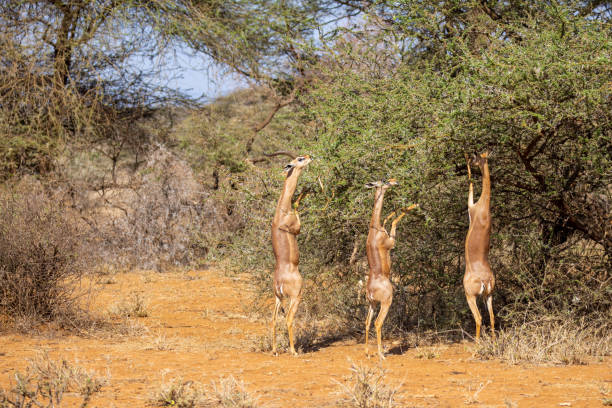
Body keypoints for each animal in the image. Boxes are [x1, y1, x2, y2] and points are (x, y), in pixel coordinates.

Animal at [364, 179, 420, 360]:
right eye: (382, 181)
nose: (394, 181)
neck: (374, 228)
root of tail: (370, 291)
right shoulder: (391, 242)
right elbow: (395, 221)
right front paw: (414, 205)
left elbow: (389, 217)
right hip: (386, 302)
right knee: (377, 323)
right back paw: (381, 354)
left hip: (372, 304)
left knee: (367, 322)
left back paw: (367, 353)